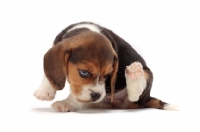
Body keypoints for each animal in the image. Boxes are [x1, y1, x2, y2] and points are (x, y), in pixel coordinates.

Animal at [33, 21, 177, 111]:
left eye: (107, 75)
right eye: (84, 72)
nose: (97, 95)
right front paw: (44, 91)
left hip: (146, 76)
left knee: (135, 95)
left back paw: (134, 74)